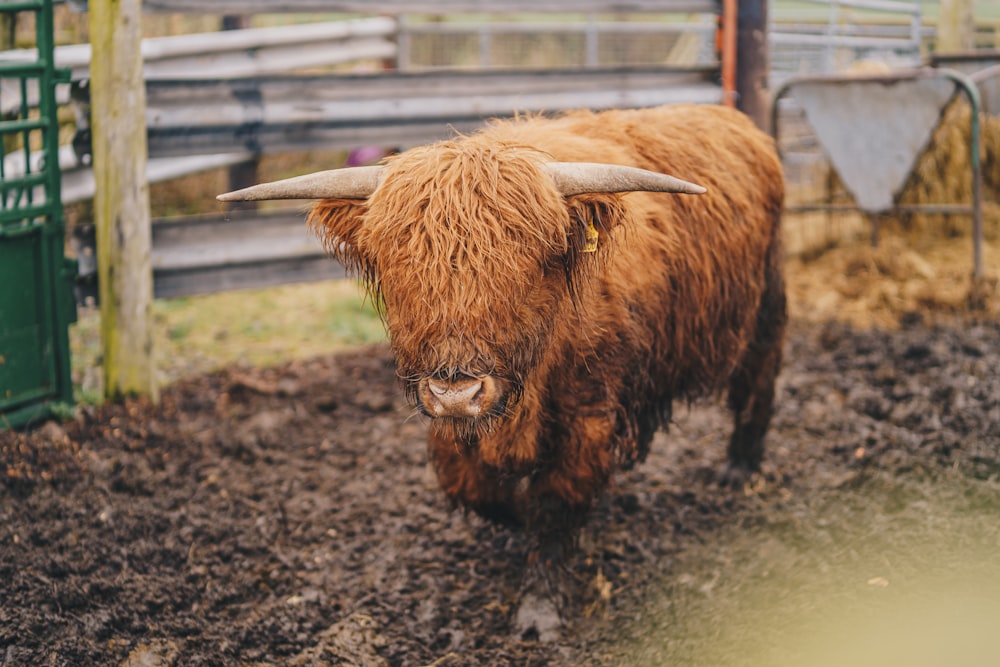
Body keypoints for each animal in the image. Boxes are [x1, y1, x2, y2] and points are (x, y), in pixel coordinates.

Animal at [221, 104, 788, 632]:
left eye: (529, 262)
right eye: (400, 265)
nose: (457, 390)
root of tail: (735, 119)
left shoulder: (588, 414)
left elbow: (556, 501)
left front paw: (541, 605)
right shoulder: (448, 421)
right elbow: (477, 491)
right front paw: (515, 520)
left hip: (764, 301)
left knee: (759, 376)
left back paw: (739, 467)